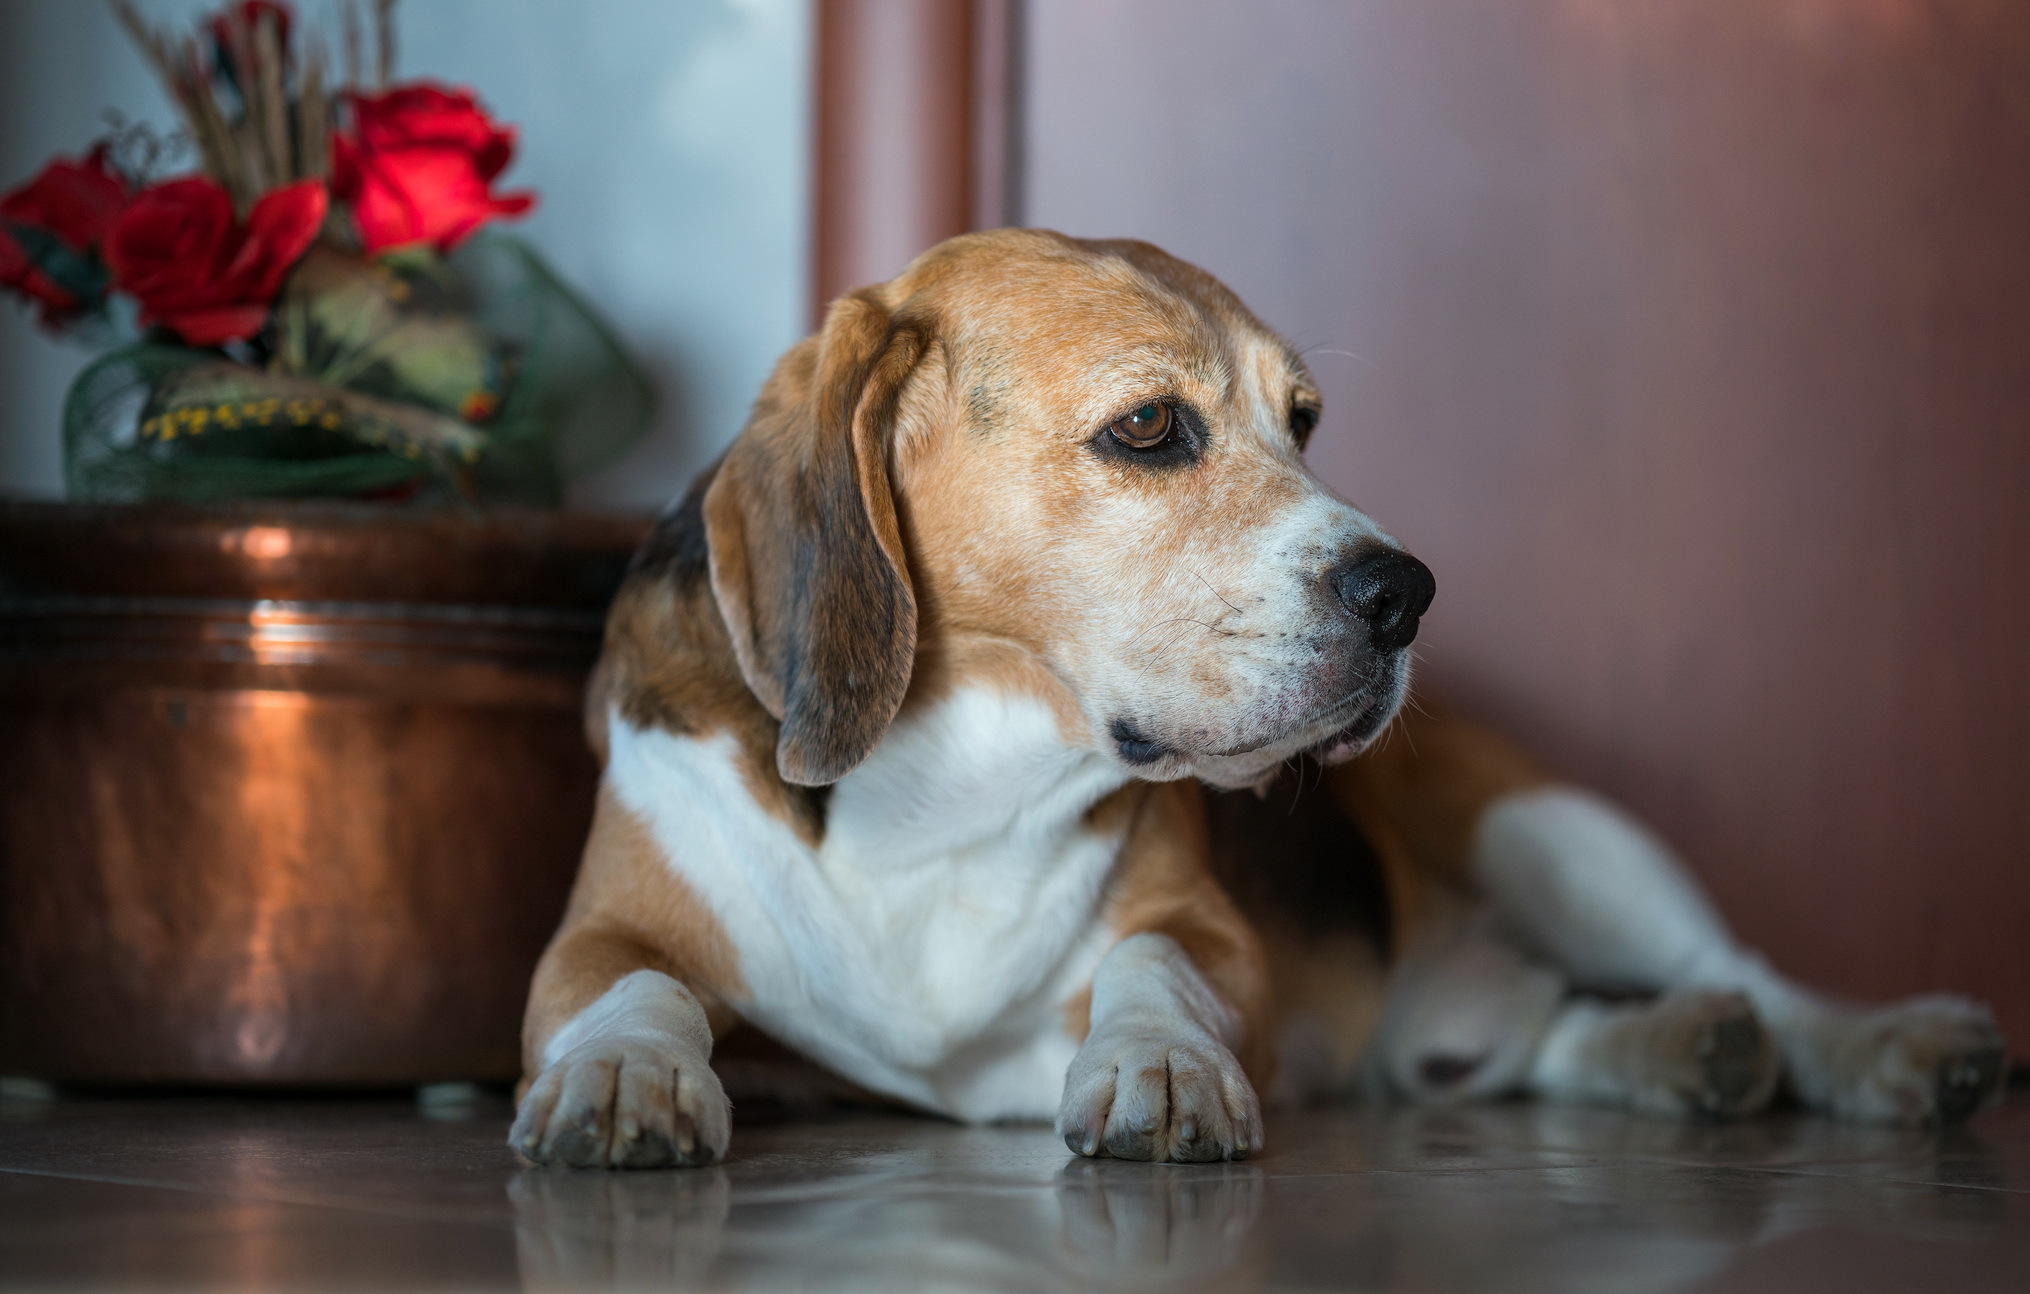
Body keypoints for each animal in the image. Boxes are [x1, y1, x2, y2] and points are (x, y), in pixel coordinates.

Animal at [511, 232, 2013, 1170]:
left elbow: (1154, 966)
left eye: (1304, 422)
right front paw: (624, 1071)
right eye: (1146, 427)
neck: (954, 791)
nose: (1407, 593)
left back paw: (1886, 1045)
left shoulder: (1209, 930)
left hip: (1549, 830)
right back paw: (1677, 1048)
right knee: (1545, 1031)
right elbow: (627, 987)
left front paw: (1160, 1064)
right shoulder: (596, 929)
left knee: (1747, 968)